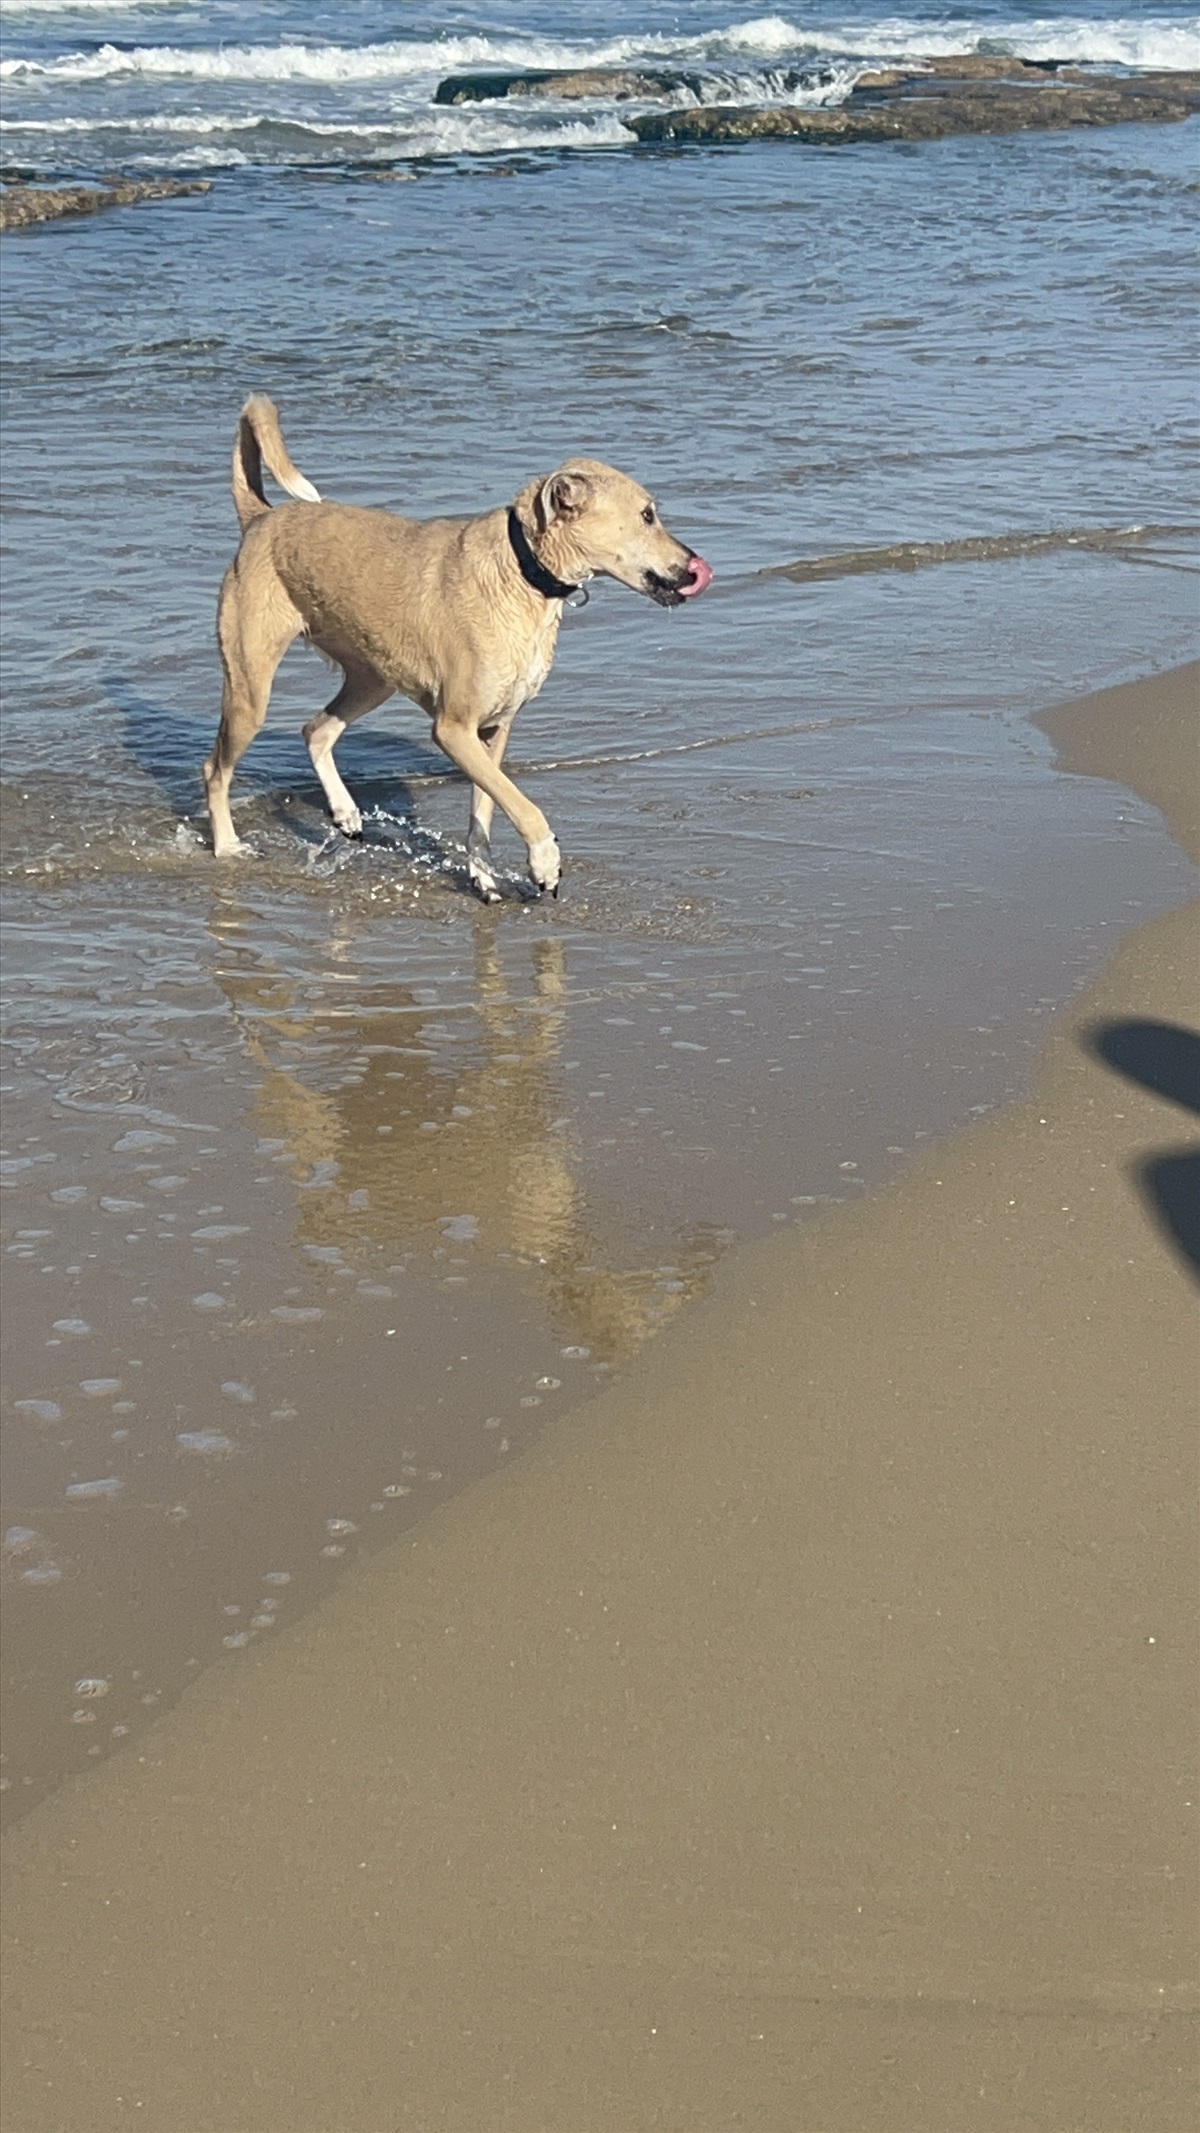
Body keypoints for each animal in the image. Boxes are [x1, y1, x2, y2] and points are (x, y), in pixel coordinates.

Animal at [203, 396, 711, 895]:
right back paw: (227, 846)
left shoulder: (494, 729)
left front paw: (482, 873)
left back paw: (346, 812)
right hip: (251, 688)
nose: (694, 566)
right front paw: (544, 861)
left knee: (316, 731)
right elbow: (521, 804)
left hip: (372, 679)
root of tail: (261, 517)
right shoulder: (453, 729)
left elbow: (484, 807)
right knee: (216, 769)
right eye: (647, 515)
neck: (522, 572)